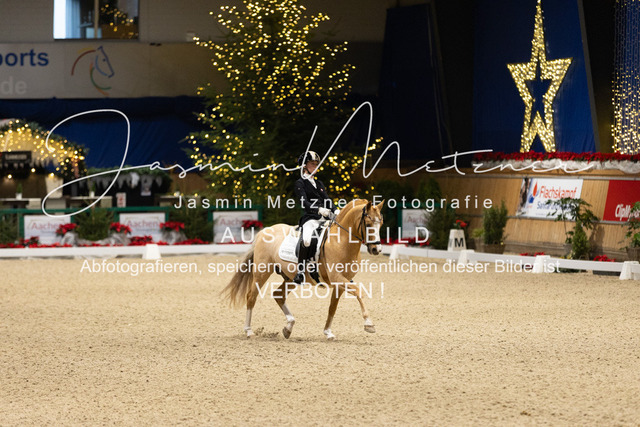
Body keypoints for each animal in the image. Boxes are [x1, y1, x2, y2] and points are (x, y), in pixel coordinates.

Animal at [222, 199, 385, 340]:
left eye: (381, 223)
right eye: (368, 223)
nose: (376, 249)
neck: (341, 241)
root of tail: (264, 231)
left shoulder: (341, 282)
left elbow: (333, 307)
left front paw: (328, 332)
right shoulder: (337, 278)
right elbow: (359, 292)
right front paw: (369, 324)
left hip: (290, 277)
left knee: (279, 295)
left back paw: (288, 328)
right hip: (262, 271)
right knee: (251, 296)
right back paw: (249, 331)